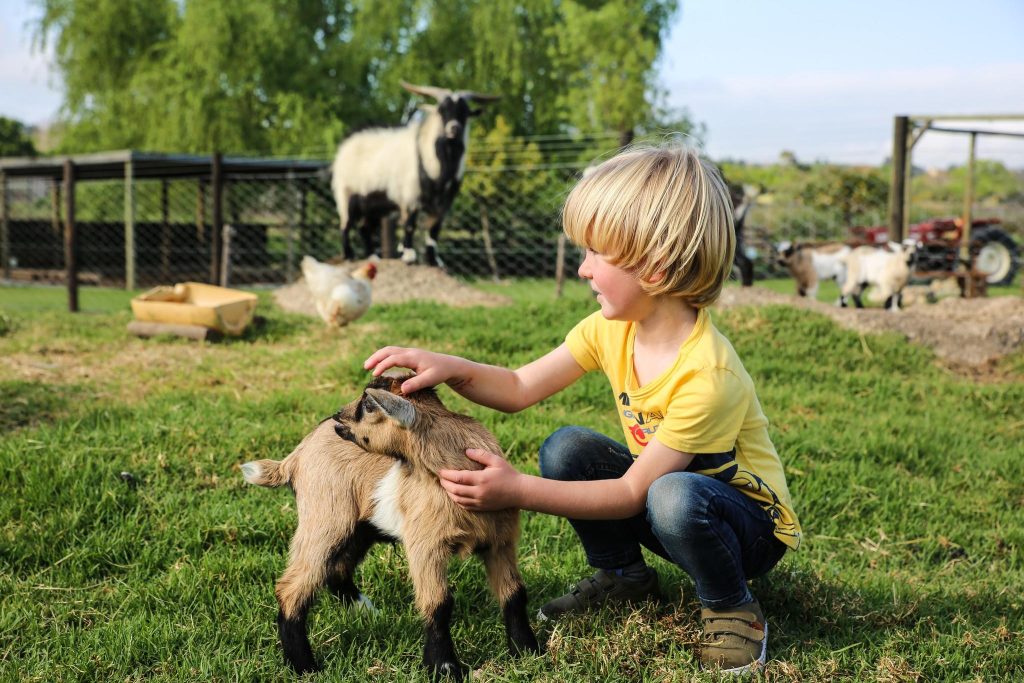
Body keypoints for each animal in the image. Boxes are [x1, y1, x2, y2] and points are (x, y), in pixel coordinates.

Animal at [242, 376, 540, 679]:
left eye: (368, 405)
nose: (337, 416)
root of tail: (296, 455)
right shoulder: (426, 545)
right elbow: (439, 603)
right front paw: (443, 668)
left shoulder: (500, 542)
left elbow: (514, 594)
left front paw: (527, 650)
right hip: (325, 516)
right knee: (292, 587)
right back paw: (304, 667)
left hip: (360, 526)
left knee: (336, 569)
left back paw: (364, 611)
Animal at [331, 81, 499, 266]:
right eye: (442, 110)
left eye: (465, 111)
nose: (454, 128)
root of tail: (346, 143)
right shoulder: (410, 196)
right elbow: (410, 224)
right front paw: (408, 255)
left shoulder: (444, 202)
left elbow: (434, 229)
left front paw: (434, 260)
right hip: (346, 194)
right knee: (345, 224)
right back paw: (349, 256)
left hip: (376, 204)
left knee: (365, 227)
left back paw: (373, 257)